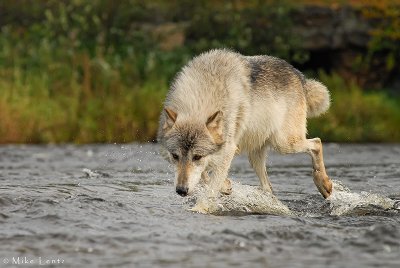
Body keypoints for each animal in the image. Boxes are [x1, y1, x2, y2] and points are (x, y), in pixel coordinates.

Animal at [158, 48, 332, 199]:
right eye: (175, 156)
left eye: (197, 157)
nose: (181, 190)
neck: (200, 99)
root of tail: (299, 76)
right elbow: (204, 175)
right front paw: (225, 185)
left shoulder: (228, 148)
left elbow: (211, 180)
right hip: (256, 155)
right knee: (268, 187)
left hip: (284, 144)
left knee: (317, 142)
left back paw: (324, 184)